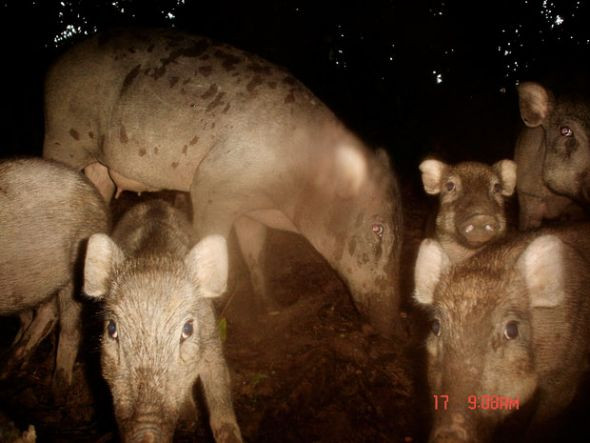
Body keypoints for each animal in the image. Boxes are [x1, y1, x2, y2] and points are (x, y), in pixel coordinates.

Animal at [44, 27, 404, 336]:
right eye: (377, 229)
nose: (391, 327)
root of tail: (59, 62)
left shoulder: (250, 209)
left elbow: (256, 252)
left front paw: (273, 310)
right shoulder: (213, 186)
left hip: (99, 166)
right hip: (63, 136)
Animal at [82, 200, 242, 443]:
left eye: (187, 329)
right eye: (112, 329)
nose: (146, 437)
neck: (154, 254)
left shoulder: (211, 335)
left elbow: (218, 385)